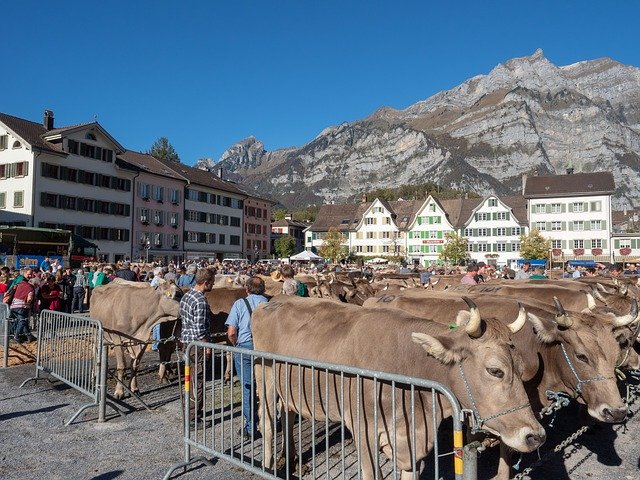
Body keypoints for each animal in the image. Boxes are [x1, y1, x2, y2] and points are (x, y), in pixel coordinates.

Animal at [252, 294, 544, 478]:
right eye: (495, 370)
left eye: (520, 367)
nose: (536, 436)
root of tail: (273, 301)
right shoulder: (364, 431)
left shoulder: (414, 443)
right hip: (264, 376)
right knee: (267, 420)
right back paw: (267, 466)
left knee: (288, 415)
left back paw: (291, 459)